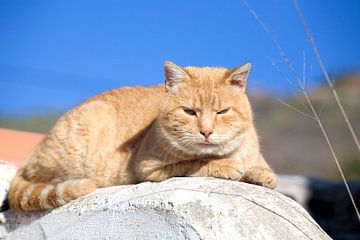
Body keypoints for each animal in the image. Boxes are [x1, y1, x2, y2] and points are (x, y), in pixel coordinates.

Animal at [9, 61, 276, 211]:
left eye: (222, 112)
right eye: (189, 111)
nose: (207, 131)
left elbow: (264, 172)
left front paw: (258, 173)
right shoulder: (149, 168)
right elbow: (195, 162)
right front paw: (225, 165)